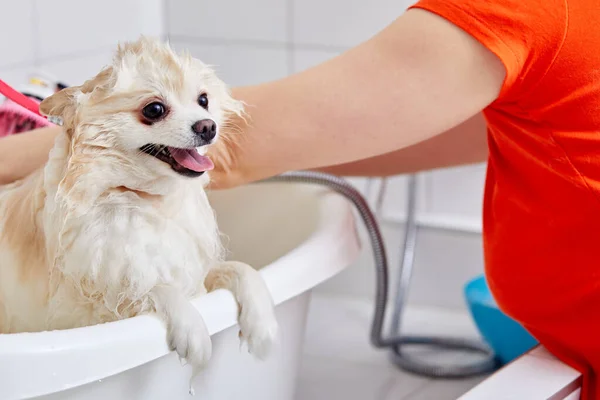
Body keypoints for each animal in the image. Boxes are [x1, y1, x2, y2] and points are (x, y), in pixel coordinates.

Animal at [0, 37, 278, 378]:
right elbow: (151, 288)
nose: (208, 126)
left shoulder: (190, 268)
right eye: (154, 109)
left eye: (203, 100)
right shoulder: (88, 307)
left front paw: (262, 323)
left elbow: (240, 269)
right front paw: (192, 328)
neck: (142, 199)